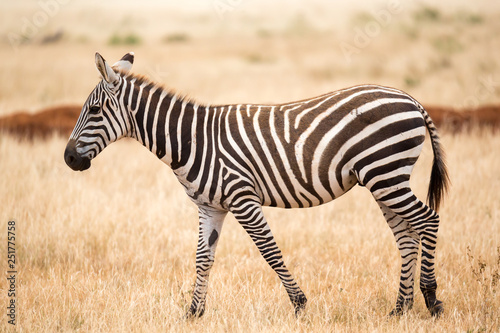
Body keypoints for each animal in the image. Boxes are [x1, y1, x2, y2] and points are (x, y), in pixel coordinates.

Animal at [63, 52, 450, 316]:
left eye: (94, 111)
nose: (68, 159)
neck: (192, 140)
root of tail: (410, 98)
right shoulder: (210, 206)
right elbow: (203, 258)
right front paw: (194, 312)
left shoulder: (242, 198)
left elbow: (270, 251)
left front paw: (299, 304)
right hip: (384, 179)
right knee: (406, 236)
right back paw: (399, 309)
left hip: (386, 173)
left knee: (428, 220)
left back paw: (431, 299)